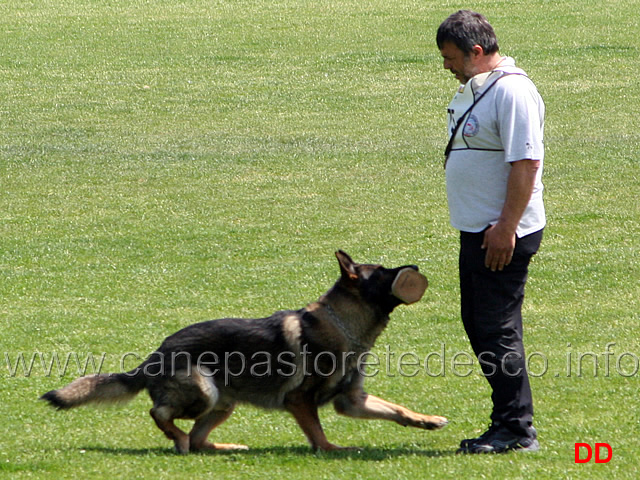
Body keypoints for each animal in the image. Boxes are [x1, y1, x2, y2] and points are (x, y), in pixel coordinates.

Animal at [41, 251, 444, 454]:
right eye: (383, 271)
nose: (415, 268)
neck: (344, 325)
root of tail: (155, 355)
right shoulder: (300, 401)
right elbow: (318, 433)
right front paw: (333, 449)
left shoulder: (352, 400)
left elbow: (396, 410)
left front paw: (427, 420)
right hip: (204, 391)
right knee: (160, 414)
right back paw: (179, 440)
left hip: (224, 403)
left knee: (198, 438)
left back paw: (222, 446)